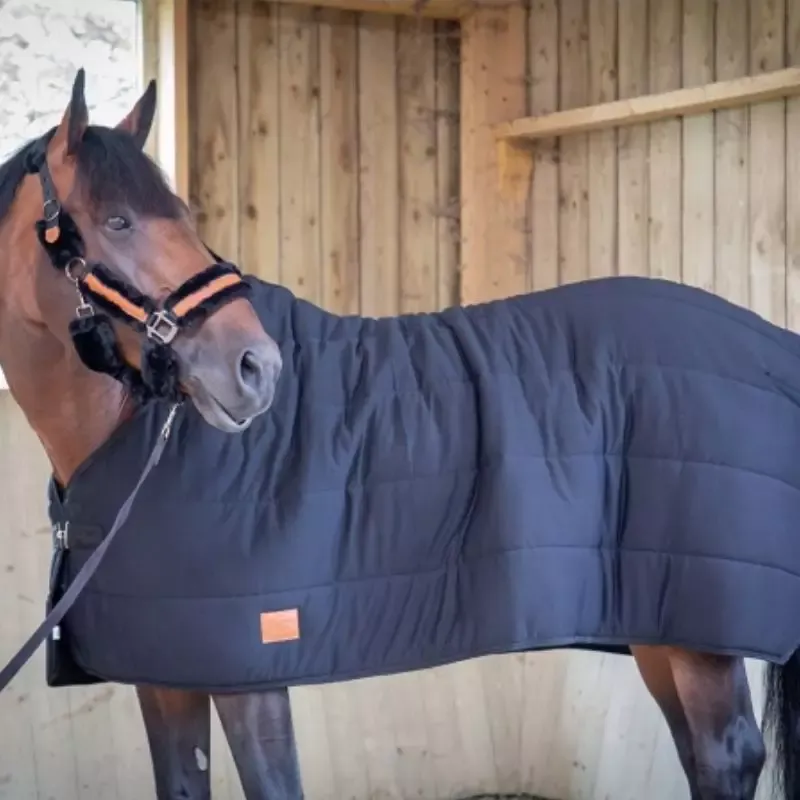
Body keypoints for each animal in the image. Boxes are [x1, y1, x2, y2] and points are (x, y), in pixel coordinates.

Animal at [0, 67, 799, 800]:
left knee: (727, 755)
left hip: (700, 641)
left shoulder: (250, 675)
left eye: (181, 216)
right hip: (659, 626)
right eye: (118, 222)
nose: (256, 367)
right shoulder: (164, 677)